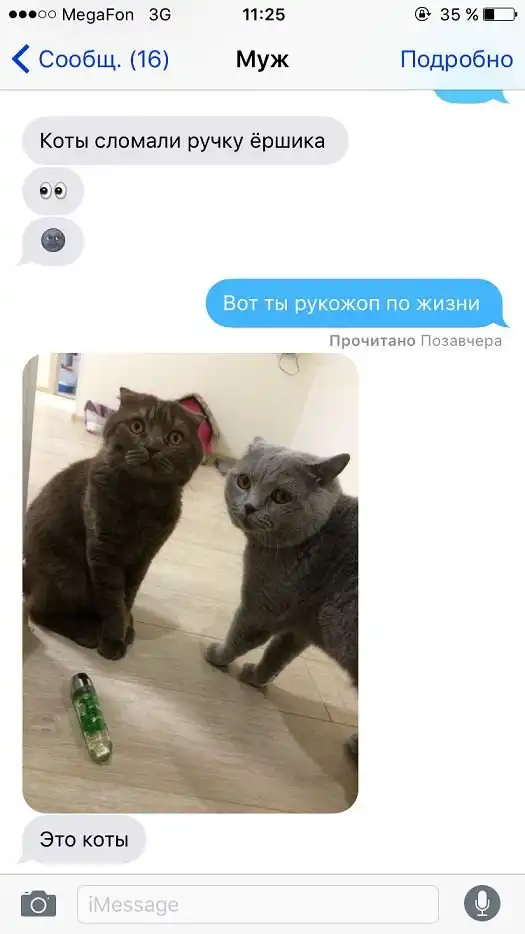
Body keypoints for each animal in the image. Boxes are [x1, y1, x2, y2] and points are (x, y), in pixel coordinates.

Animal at [24, 387, 203, 660]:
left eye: (175, 438)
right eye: (137, 426)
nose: (153, 447)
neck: (142, 503)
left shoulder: (144, 557)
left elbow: (128, 597)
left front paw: (125, 628)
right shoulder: (103, 551)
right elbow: (112, 599)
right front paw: (112, 640)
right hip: (67, 574)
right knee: (37, 610)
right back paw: (86, 631)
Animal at [205, 437, 358, 762]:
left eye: (281, 496)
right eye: (243, 481)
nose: (249, 506)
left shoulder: (261, 606)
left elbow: (240, 636)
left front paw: (217, 655)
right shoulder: (298, 626)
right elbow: (277, 655)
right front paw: (256, 677)